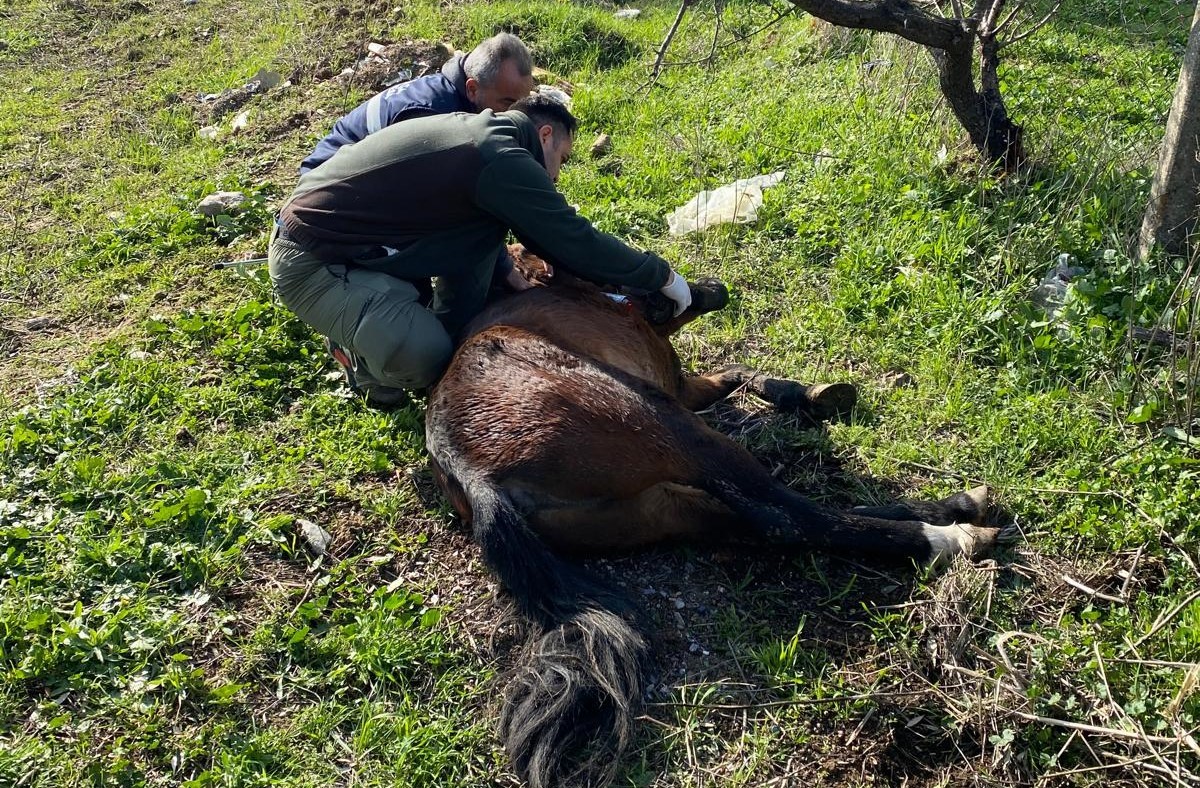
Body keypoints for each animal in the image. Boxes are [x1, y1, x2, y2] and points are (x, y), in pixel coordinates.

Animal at [427, 266, 1008, 786]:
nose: (712, 287)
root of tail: (467, 467)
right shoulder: (674, 396)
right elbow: (735, 379)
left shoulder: (684, 391)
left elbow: (733, 373)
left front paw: (806, 393)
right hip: (664, 426)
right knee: (787, 516)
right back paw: (947, 532)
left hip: (660, 505)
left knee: (761, 521)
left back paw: (951, 511)